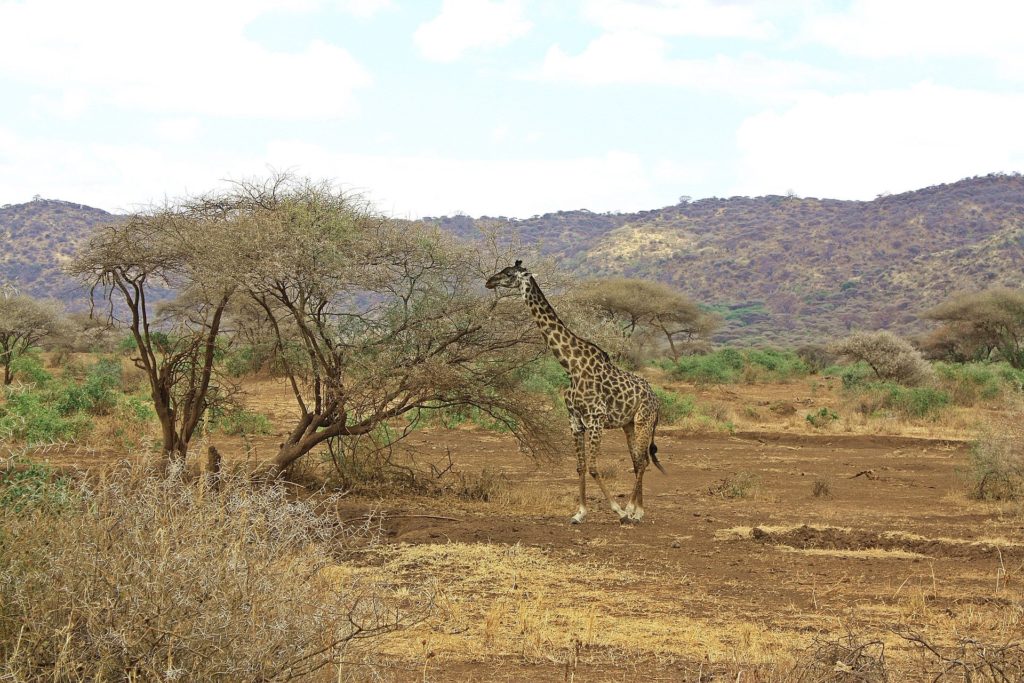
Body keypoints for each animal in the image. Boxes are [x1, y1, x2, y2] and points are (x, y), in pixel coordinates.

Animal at [485, 260, 667, 524]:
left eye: (509, 273)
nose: (489, 281)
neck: (571, 365)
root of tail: (657, 400)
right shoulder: (574, 420)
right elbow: (580, 467)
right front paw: (579, 513)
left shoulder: (596, 418)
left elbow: (593, 467)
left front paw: (618, 510)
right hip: (629, 424)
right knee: (637, 461)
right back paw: (637, 510)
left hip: (644, 421)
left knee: (642, 462)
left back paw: (633, 512)